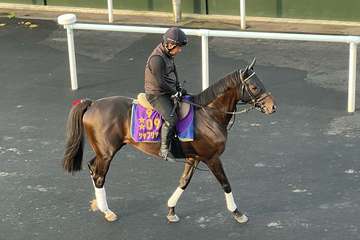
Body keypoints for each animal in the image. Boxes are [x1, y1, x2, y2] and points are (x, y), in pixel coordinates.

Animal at [62, 59, 276, 224]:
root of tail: (92, 104)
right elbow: (225, 183)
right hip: (107, 152)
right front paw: (237, 213)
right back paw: (107, 211)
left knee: (92, 167)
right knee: (99, 176)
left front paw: (171, 210)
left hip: (102, 151)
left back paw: (98, 205)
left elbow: (184, 181)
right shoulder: (211, 157)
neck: (208, 114)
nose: (272, 107)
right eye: (254, 86)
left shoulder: (194, 157)